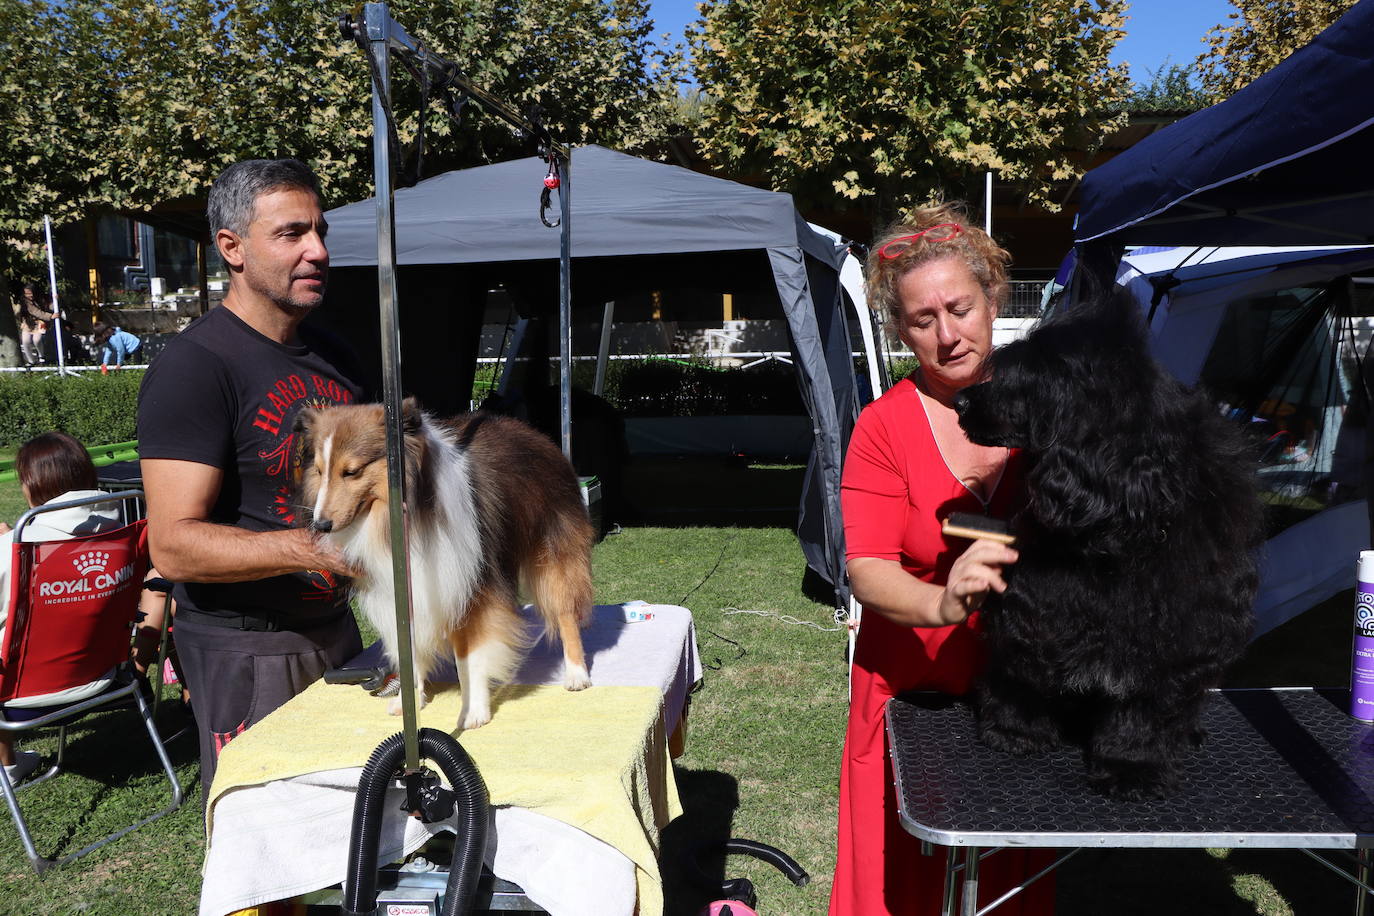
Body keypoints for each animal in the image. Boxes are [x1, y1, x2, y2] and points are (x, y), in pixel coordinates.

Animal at [292, 401, 593, 730]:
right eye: (319, 471)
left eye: (351, 471)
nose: (320, 525)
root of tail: (532, 432)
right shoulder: (401, 593)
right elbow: (408, 652)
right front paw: (409, 702)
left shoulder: (470, 590)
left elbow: (469, 657)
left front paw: (473, 711)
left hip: (553, 554)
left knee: (565, 612)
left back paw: (576, 674)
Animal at [956, 300, 1264, 802]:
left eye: (1026, 381)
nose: (960, 402)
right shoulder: (1036, 604)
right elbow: (1021, 668)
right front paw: (1015, 732)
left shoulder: (1172, 632)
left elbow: (1144, 704)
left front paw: (1130, 767)